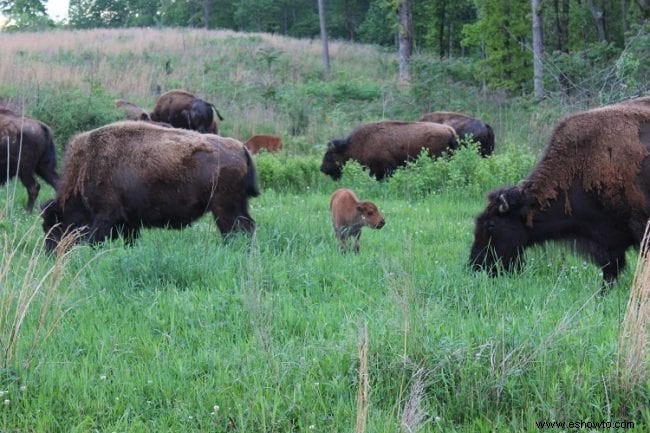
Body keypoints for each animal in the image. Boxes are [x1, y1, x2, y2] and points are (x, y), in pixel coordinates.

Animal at [39, 120, 258, 251]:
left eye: (55, 225)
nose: (50, 253)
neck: (86, 167)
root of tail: (241, 147)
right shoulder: (129, 222)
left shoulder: (106, 215)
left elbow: (95, 238)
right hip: (236, 206)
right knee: (246, 226)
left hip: (224, 208)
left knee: (234, 229)